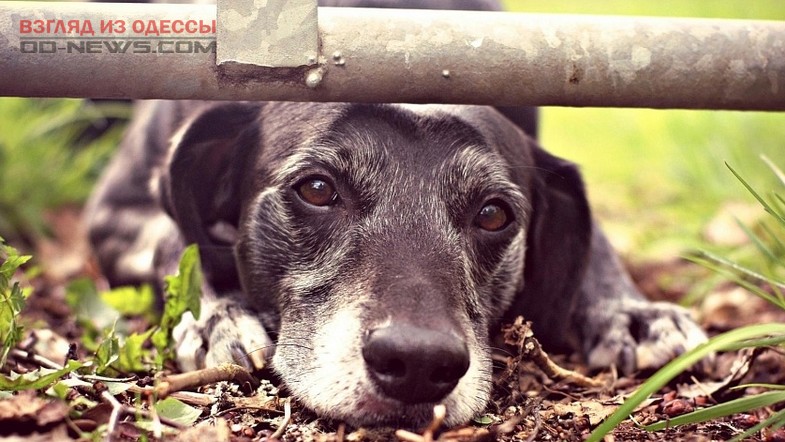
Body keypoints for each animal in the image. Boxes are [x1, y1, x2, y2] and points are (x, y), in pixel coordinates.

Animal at [82, 0, 708, 430]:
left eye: (493, 214)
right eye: (317, 189)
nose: (417, 364)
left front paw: (629, 309)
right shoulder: (117, 217)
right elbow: (177, 242)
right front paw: (217, 315)